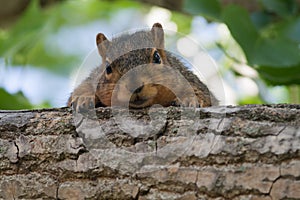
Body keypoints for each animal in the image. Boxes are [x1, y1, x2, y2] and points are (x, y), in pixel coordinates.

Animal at [68, 23, 218, 111]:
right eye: (108, 68)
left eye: (157, 57)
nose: (134, 85)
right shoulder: (94, 77)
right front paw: (83, 97)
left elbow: (204, 94)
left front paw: (189, 98)